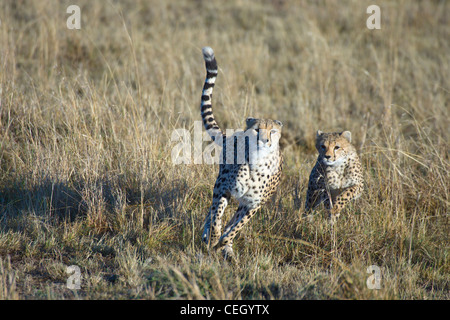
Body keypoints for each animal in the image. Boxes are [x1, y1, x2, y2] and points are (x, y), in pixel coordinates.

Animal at [200, 46, 284, 258]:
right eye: (256, 129)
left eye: (272, 131)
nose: (264, 140)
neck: (256, 161)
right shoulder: (223, 189)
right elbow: (217, 216)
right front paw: (214, 237)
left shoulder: (252, 204)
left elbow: (236, 227)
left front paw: (224, 242)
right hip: (220, 185)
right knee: (212, 212)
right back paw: (208, 235)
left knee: (231, 221)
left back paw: (225, 246)